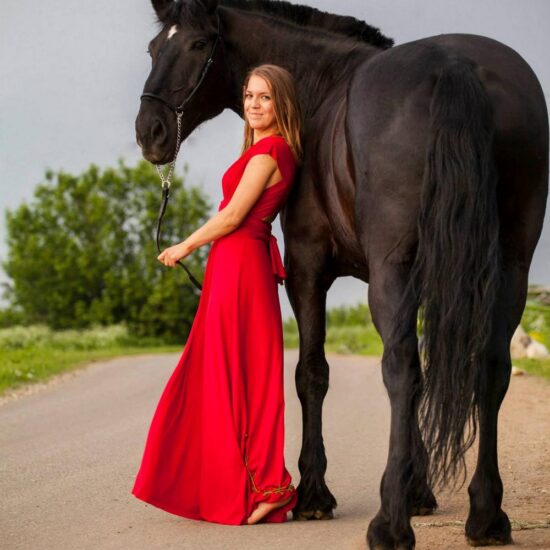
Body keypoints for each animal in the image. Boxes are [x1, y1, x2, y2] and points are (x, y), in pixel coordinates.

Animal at [135, 2, 550, 548]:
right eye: (153, 48)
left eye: (199, 44)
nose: (150, 132)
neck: (320, 89)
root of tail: (455, 67)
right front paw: (419, 490)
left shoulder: (309, 269)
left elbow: (312, 374)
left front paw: (314, 494)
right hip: (510, 266)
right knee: (490, 368)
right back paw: (486, 516)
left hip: (398, 270)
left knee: (401, 371)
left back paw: (388, 524)